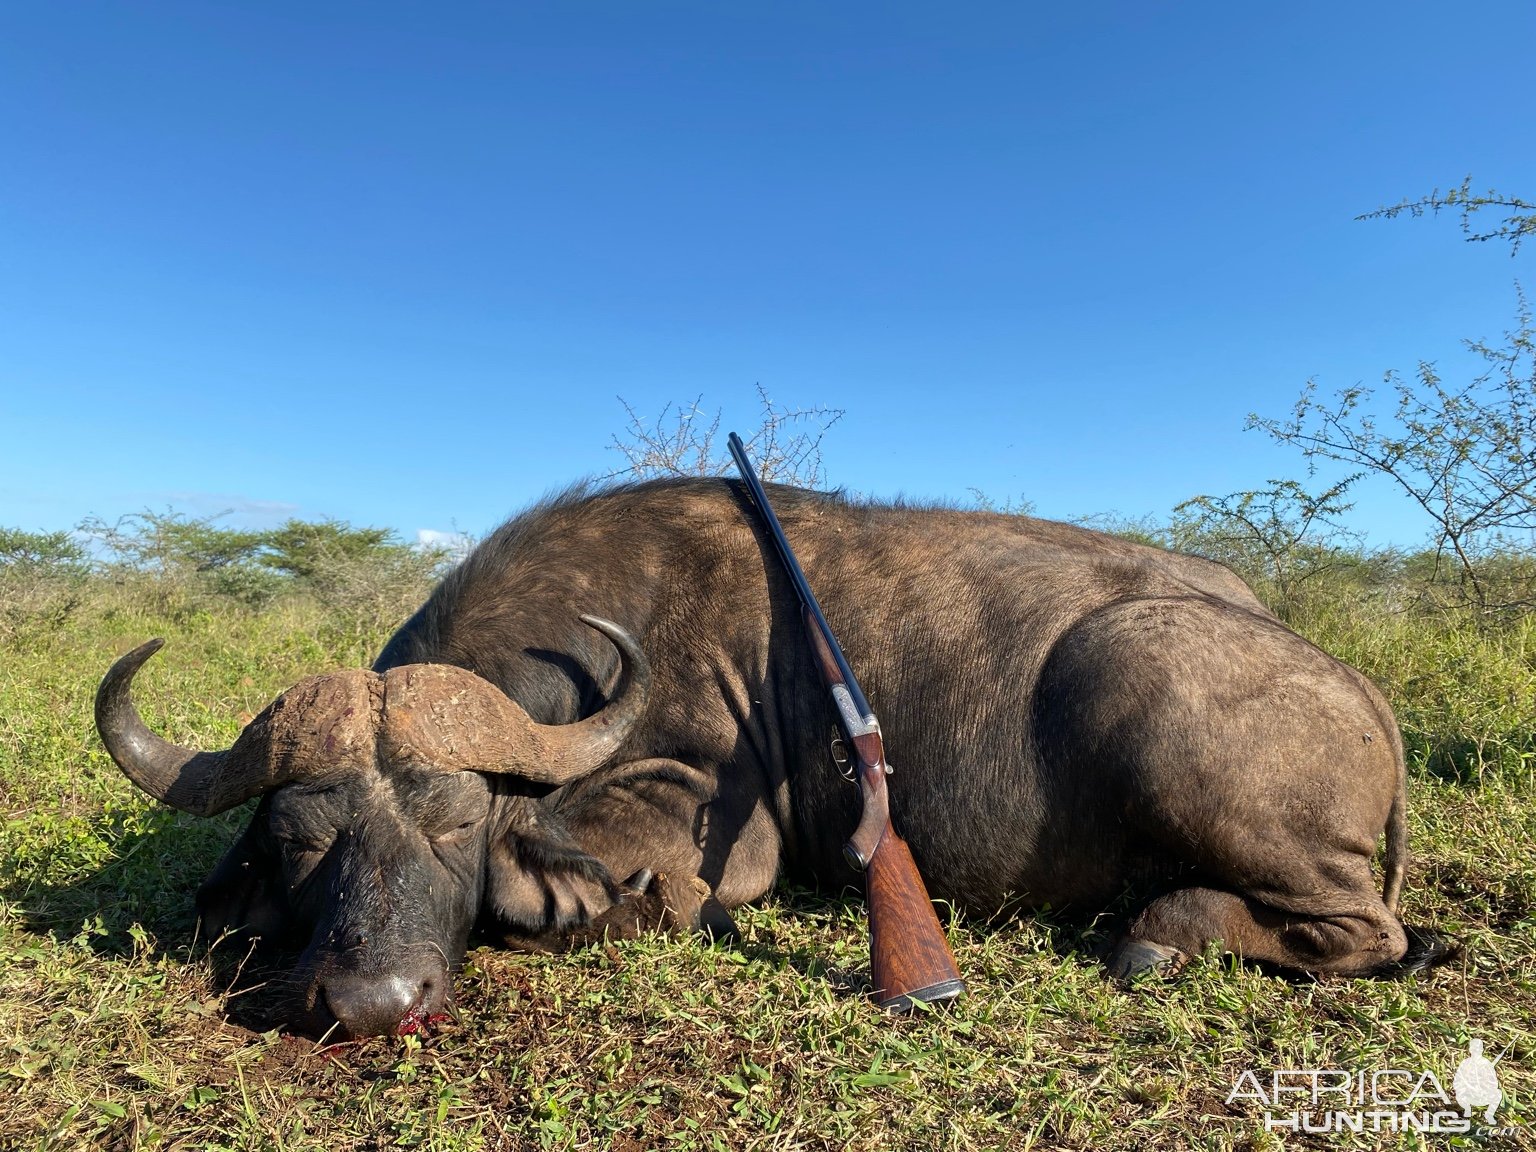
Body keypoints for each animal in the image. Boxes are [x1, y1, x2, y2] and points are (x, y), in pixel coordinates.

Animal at [99, 482, 1449, 1044]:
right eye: (301, 842)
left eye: (456, 823)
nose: (374, 1001)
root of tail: (1357, 693)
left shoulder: (716, 832)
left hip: (1148, 682)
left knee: (1363, 933)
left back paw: (1161, 933)